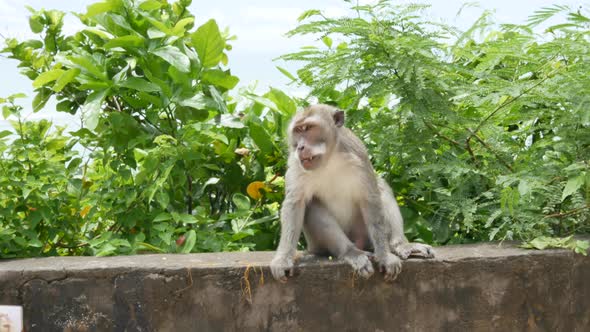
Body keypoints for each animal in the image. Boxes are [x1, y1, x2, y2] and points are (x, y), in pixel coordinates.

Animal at [272, 104, 434, 282]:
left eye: (308, 128)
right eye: (298, 130)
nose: (300, 147)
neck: (329, 159)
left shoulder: (358, 154)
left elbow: (370, 197)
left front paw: (385, 256)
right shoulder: (296, 164)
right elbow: (295, 203)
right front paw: (283, 260)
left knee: (381, 186)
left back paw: (399, 245)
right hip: (318, 244)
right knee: (312, 204)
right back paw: (351, 252)